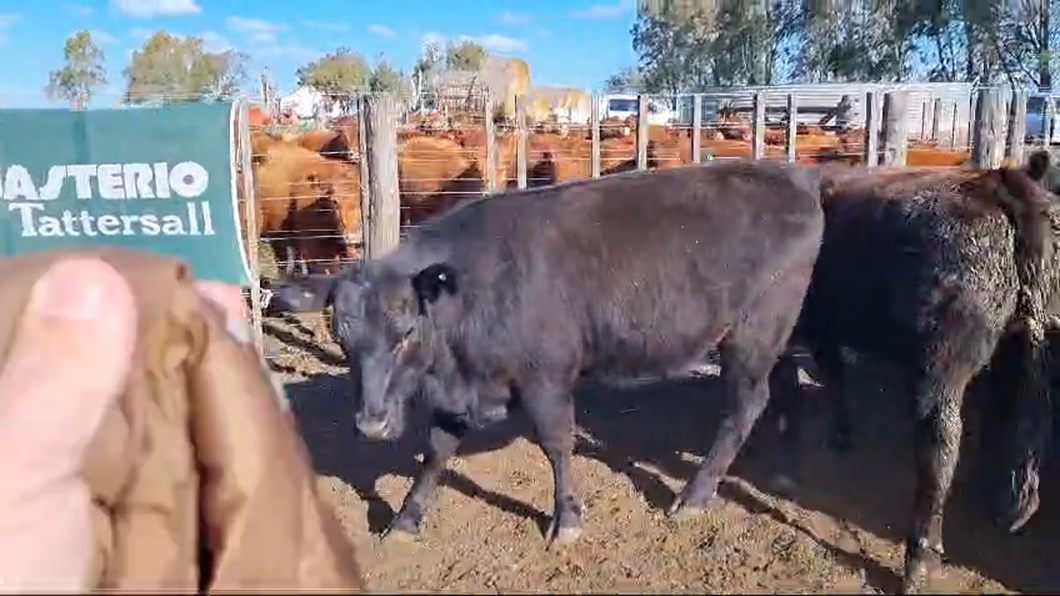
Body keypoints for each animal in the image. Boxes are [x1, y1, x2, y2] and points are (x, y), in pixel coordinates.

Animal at [279, 159, 826, 547]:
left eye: (408, 331)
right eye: (340, 334)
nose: (371, 425)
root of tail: (794, 174)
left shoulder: (545, 377)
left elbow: (557, 443)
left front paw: (566, 519)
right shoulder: (456, 393)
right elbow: (435, 451)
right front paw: (407, 519)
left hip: (752, 333)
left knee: (745, 406)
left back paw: (695, 494)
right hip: (778, 335)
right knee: (784, 389)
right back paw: (781, 466)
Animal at [771, 160, 1060, 589]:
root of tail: (996, 182)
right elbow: (835, 376)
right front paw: (841, 433)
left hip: (940, 367)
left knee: (940, 444)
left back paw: (917, 561)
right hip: (1019, 343)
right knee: (1019, 417)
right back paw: (1006, 504)